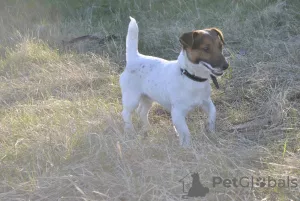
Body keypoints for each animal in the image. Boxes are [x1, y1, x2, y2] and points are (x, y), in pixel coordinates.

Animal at [118, 16, 229, 147]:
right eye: (206, 48)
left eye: (220, 46)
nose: (226, 66)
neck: (191, 77)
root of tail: (135, 58)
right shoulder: (177, 113)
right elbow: (185, 131)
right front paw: (186, 146)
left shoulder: (206, 102)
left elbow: (213, 114)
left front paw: (211, 131)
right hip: (132, 98)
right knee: (126, 113)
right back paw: (129, 131)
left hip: (147, 98)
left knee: (142, 112)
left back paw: (147, 128)